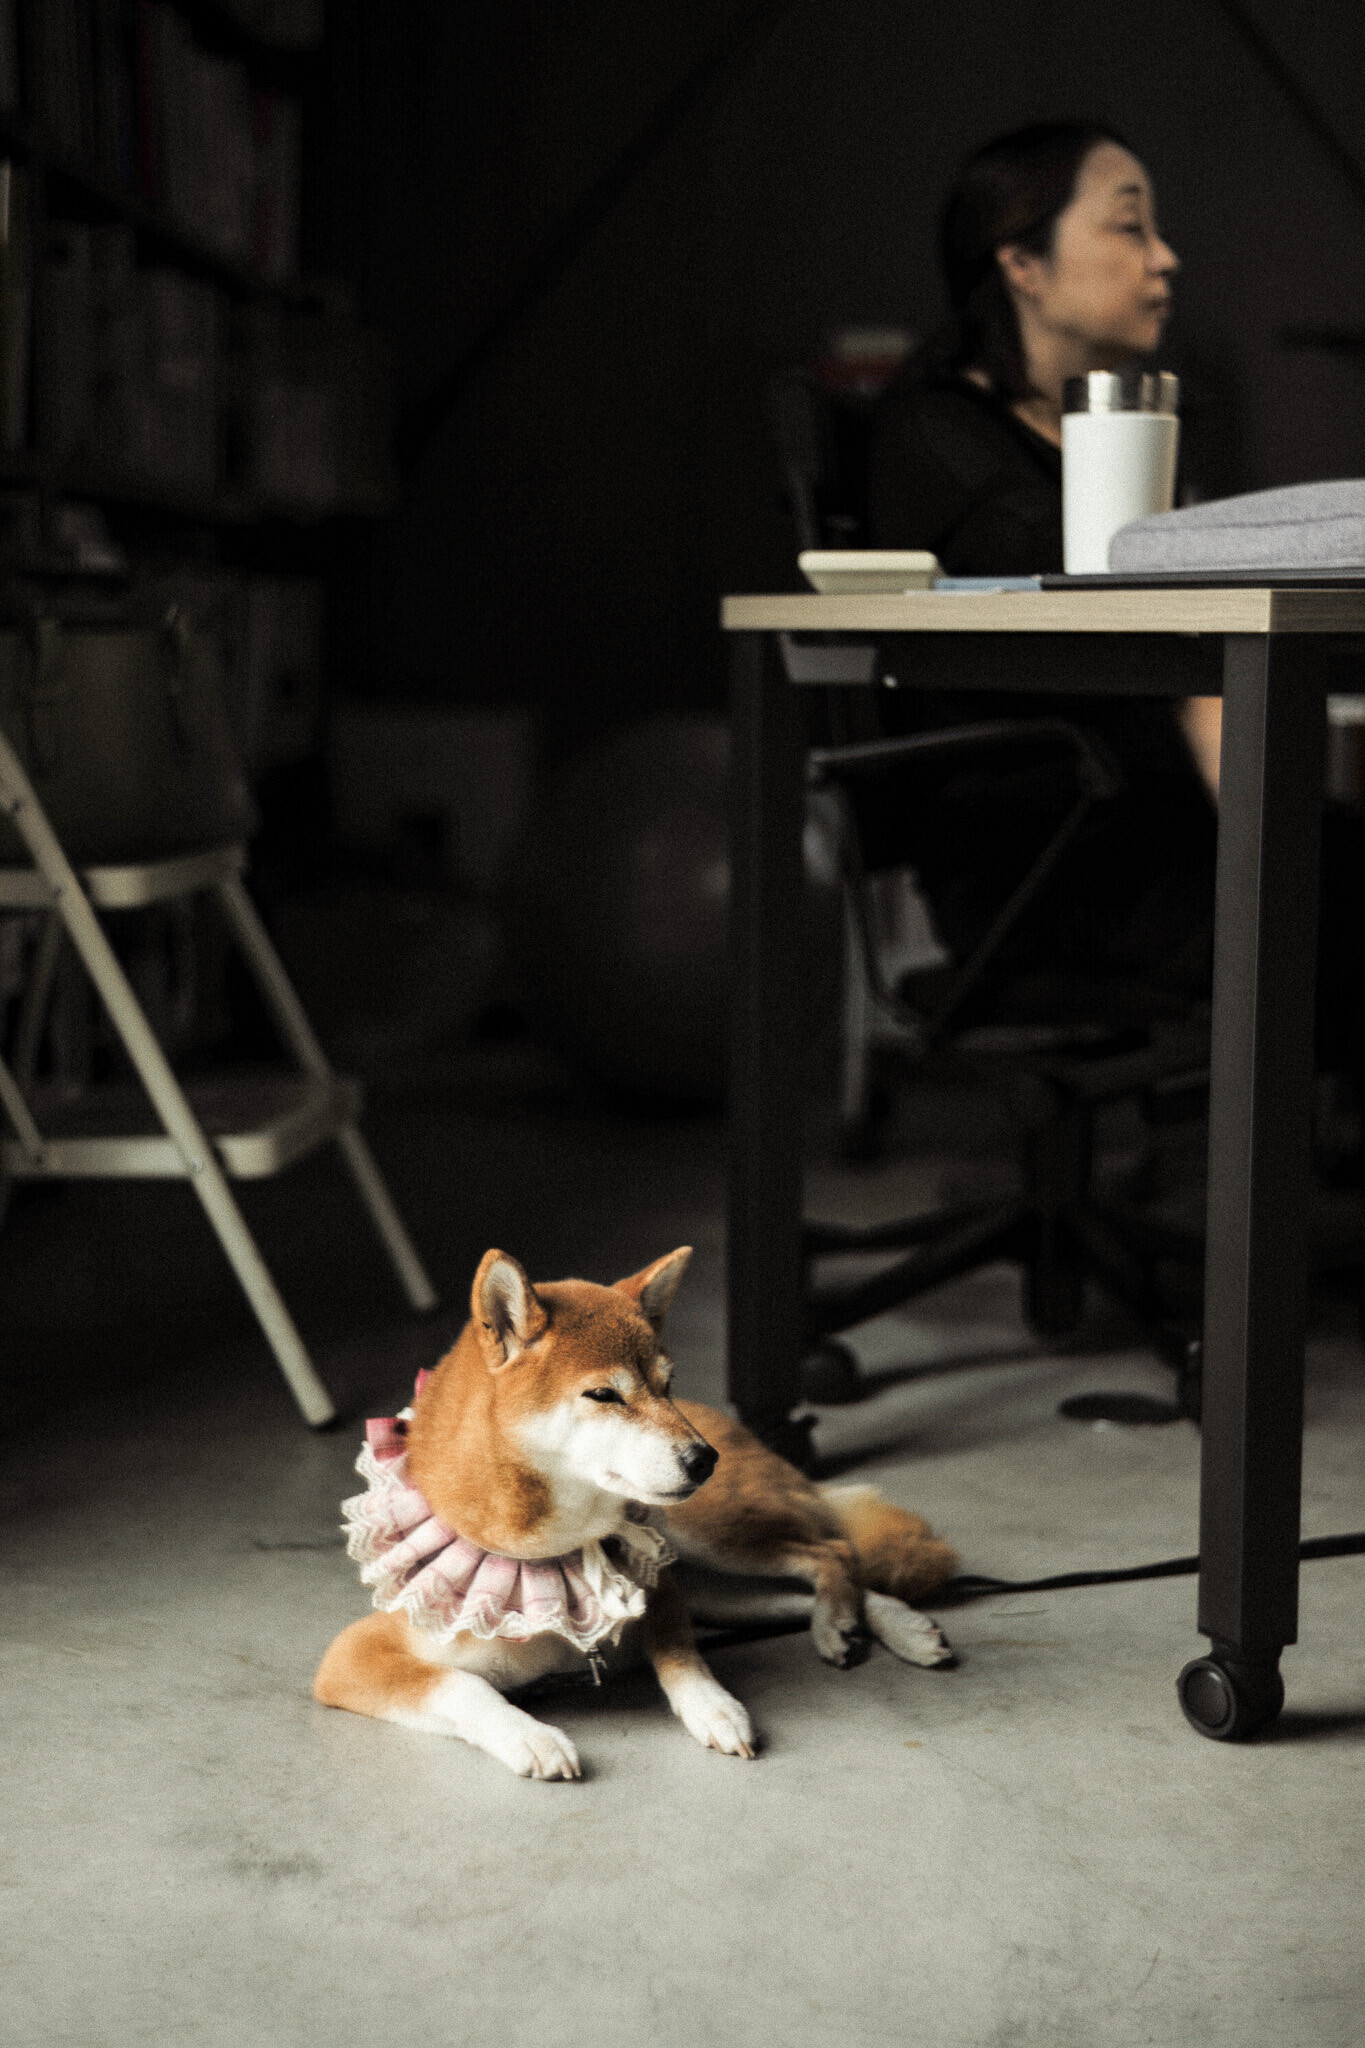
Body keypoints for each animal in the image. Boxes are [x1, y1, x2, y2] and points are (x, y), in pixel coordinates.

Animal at [314, 1246, 958, 1778]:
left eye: (666, 1385)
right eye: (604, 1394)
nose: (704, 1459)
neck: (551, 1555)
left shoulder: (660, 1590)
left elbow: (678, 1651)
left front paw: (714, 1707)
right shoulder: (354, 1659)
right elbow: (462, 1687)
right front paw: (532, 1737)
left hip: (708, 1537)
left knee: (831, 1552)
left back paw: (853, 1623)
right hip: (713, 1582)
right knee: (801, 1588)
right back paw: (878, 1624)